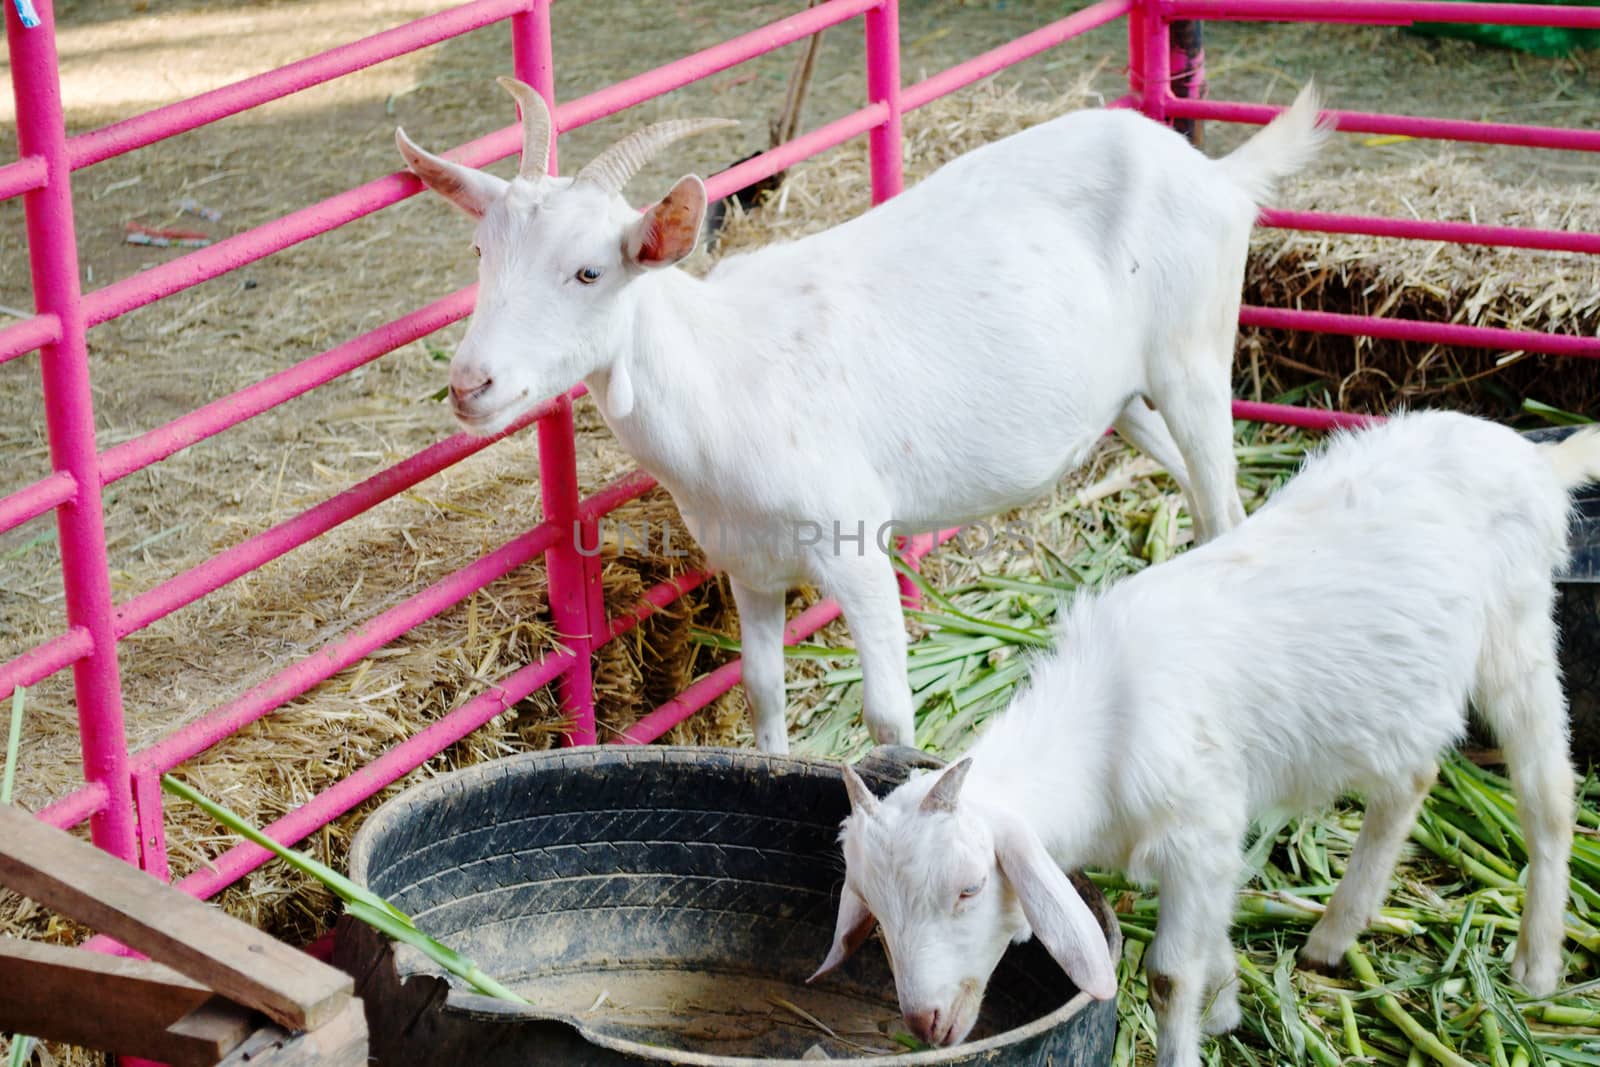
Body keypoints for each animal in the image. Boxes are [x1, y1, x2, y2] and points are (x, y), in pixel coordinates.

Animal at [396, 79, 1324, 755]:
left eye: (589, 272)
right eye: (481, 251)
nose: (471, 383)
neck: (720, 372)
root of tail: (1216, 174)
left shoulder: (855, 547)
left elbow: (888, 714)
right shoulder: (749, 564)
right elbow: (762, 690)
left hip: (1194, 354)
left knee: (1224, 502)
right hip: (1127, 397)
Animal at [819, 412, 1593, 1067]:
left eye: (971, 887)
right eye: (874, 910)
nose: (923, 1022)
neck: (1107, 719)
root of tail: (1534, 457)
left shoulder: (1198, 829)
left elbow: (1167, 975)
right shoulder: (1211, 846)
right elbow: (1214, 932)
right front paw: (1224, 1007)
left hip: (1518, 632)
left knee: (1548, 791)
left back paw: (1537, 963)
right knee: (1411, 782)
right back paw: (1334, 935)